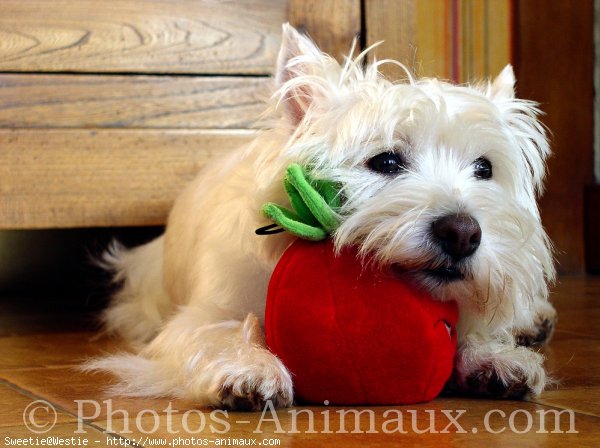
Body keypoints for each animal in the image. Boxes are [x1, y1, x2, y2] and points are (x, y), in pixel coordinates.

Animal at [86, 24, 556, 410]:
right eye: (385, 162)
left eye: (484, 169)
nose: (462, 233)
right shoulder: (197, 316)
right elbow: (216, 333)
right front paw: (248, 368)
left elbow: (479, 327)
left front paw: (495, 358)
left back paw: (534, 320)